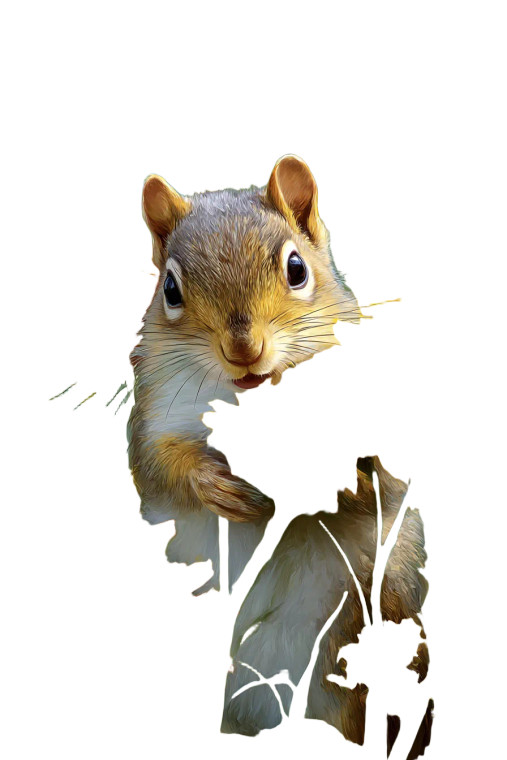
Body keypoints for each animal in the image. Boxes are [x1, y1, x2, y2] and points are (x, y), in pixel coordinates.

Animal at [127, 155, 359, 526]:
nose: (243, 350)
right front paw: (217, 486)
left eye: (297, 269)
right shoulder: (159, 406)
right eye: (170, 290)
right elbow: (156, 463)